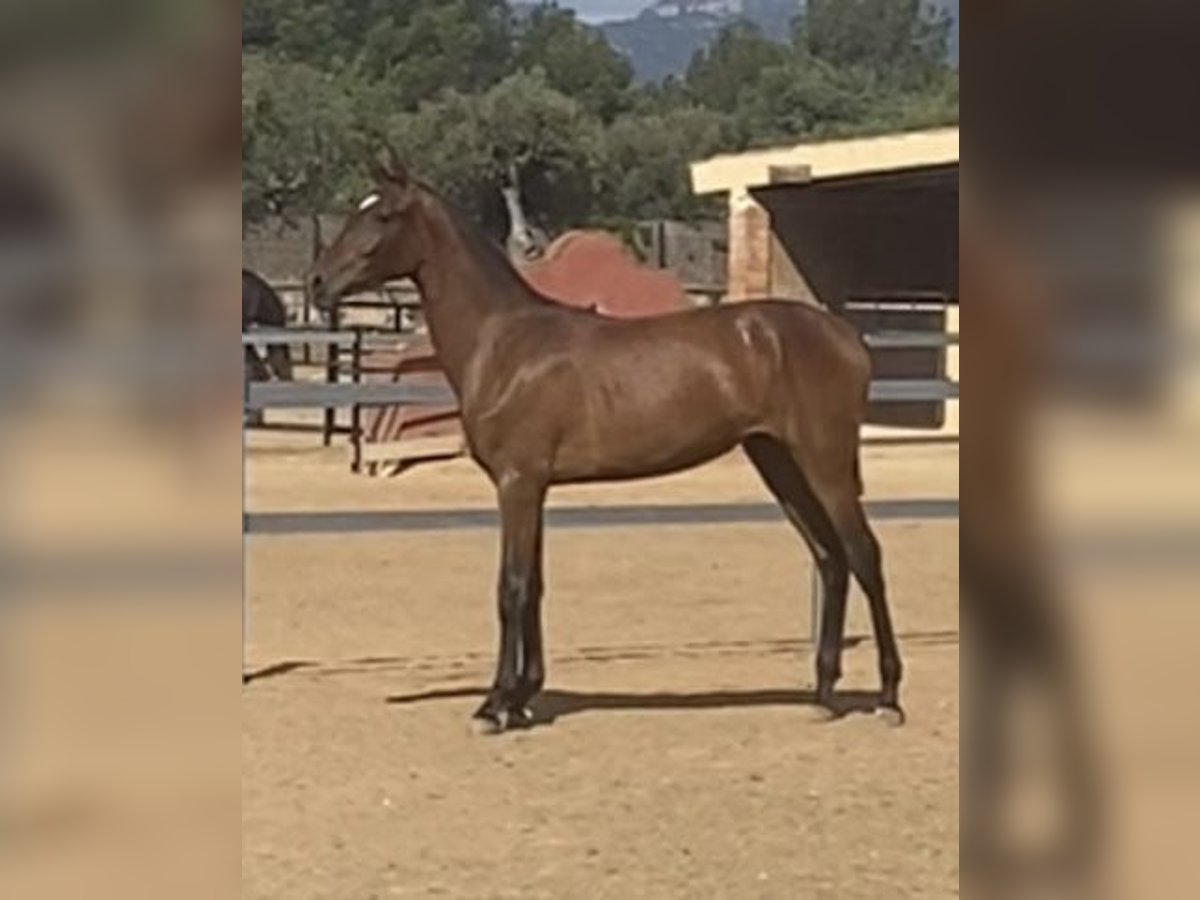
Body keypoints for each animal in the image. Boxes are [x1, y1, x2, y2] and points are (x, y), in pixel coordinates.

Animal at [304, 154, 902, 734]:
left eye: (383, 216)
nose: (315, 283)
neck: (504, 342)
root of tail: (846, 337)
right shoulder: (535, 488)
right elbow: (535, 585)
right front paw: (523, 697)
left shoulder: (517, 483)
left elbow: (510, 587)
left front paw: (495, 705)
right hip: (777, 461)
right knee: (829, 557)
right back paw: (823, 694)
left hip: (824, 463)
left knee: (864, 555)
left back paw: (889, 697)